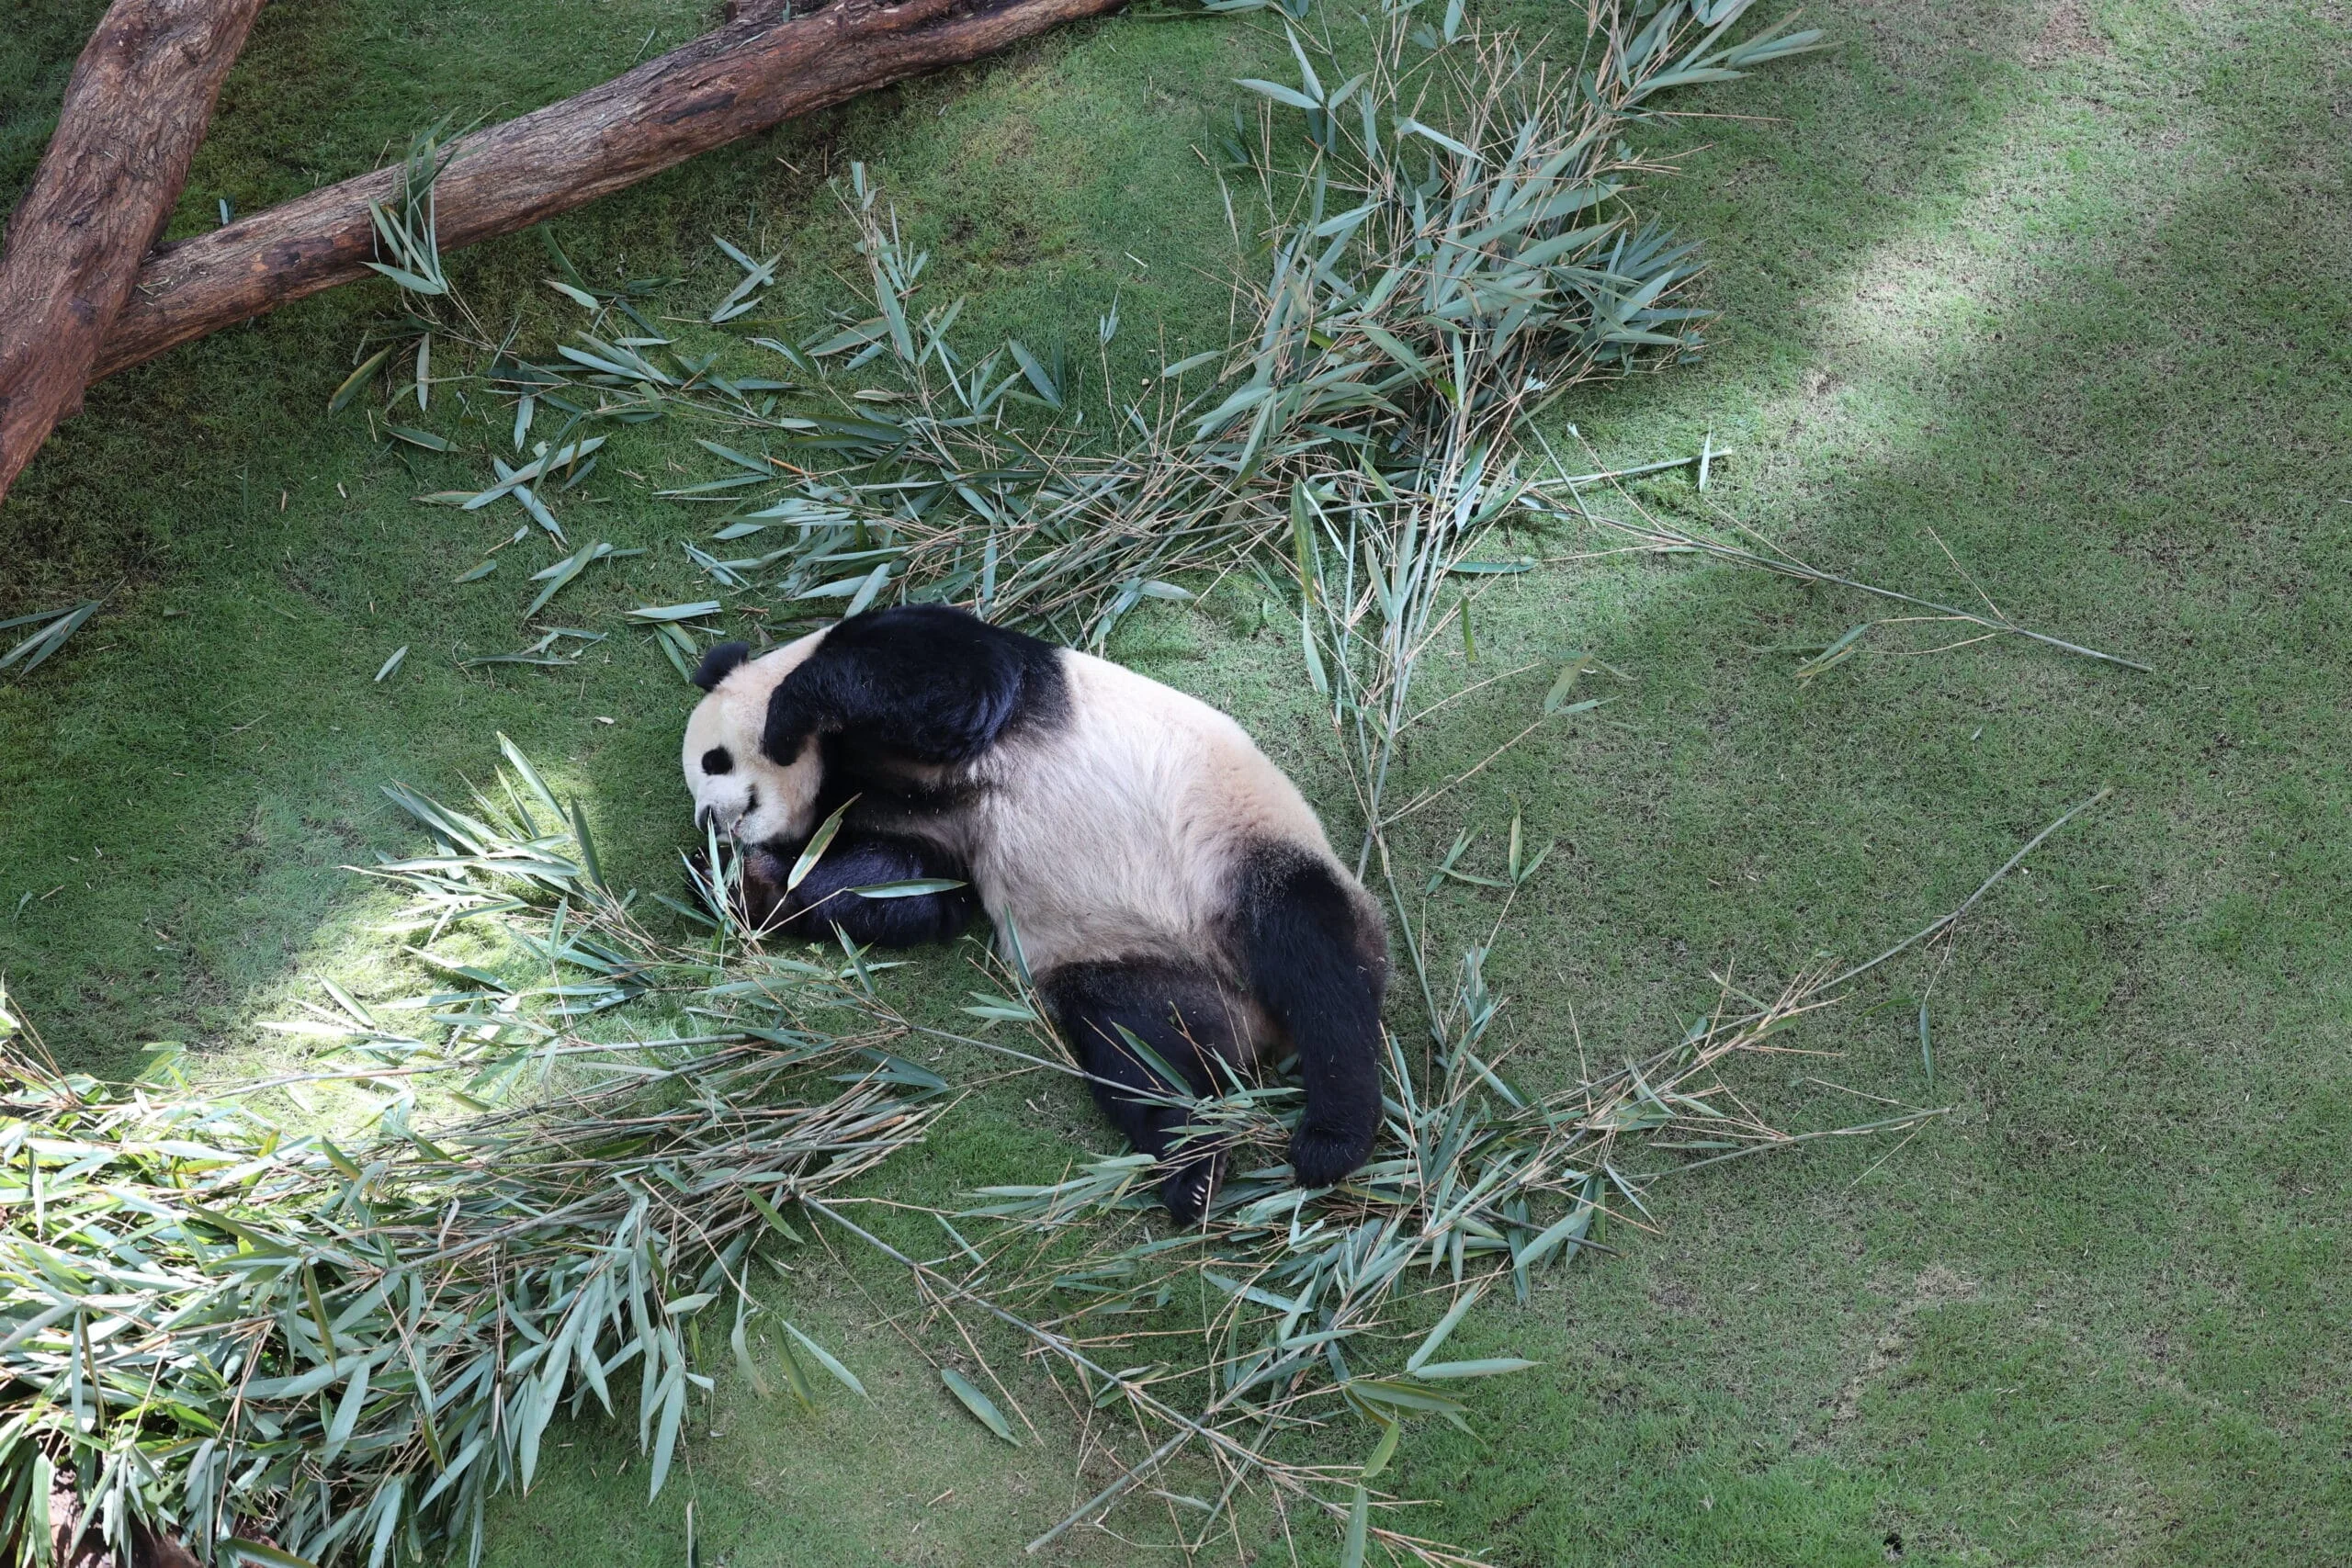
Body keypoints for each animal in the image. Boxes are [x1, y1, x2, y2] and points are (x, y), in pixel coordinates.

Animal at [681, 605, 1388, 1221]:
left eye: (714, 759)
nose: (708, 819)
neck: (837, 769)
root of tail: (1250, 1017)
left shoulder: (946, 669)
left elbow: (950, 690)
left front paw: (783, 720)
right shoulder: (905, 820)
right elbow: (908, 887)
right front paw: (738, 882)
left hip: (1237, 855)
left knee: (1319, 968)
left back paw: (1330, 1139)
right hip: (1125, 966)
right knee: (1140, 1051)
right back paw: (1191, 1168)